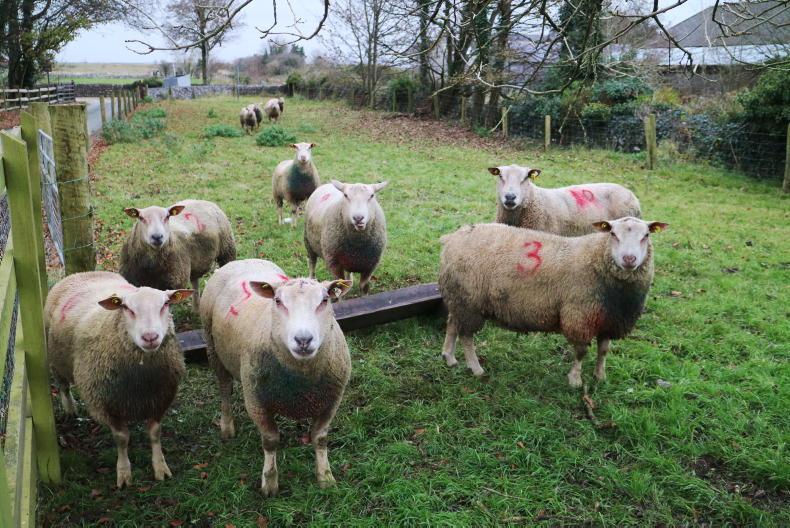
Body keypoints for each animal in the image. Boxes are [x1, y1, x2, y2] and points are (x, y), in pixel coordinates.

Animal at [45, 271, 192, 488]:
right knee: (63, 386)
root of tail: (82, 273)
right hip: (56, 360)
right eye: (126, 308)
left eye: (165, 304)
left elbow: (155, 433)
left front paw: (160, 467)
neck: (141, 381)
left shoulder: (160, 399)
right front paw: (123, 473)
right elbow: (122, 439)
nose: (150, 337)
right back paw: (70, 408)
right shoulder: (108, 404)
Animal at [200, 259, 352, 496]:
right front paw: (269, 483)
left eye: (325, 300)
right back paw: (227, 427)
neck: (302, 374)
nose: (303, 340)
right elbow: (270, 441)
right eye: (278, 301)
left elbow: (320, 438)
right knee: (224, 390)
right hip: (213, 348)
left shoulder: (331, 400)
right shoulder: (256, 402)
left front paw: (325, 478)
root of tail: (242, 260)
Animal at [438, 217, 668, 387]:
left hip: (458, 297)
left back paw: (449, 358)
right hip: (470, 302)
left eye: (646, 235)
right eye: (613, 234)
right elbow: (581, 351)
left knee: (452, 324)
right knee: (466, 336)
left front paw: (600, 377)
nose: (629, 259)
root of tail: (452, 238)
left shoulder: (608, 319)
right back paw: (476, 368)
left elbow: (603, 350)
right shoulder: (580, 317)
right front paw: (575, 380)